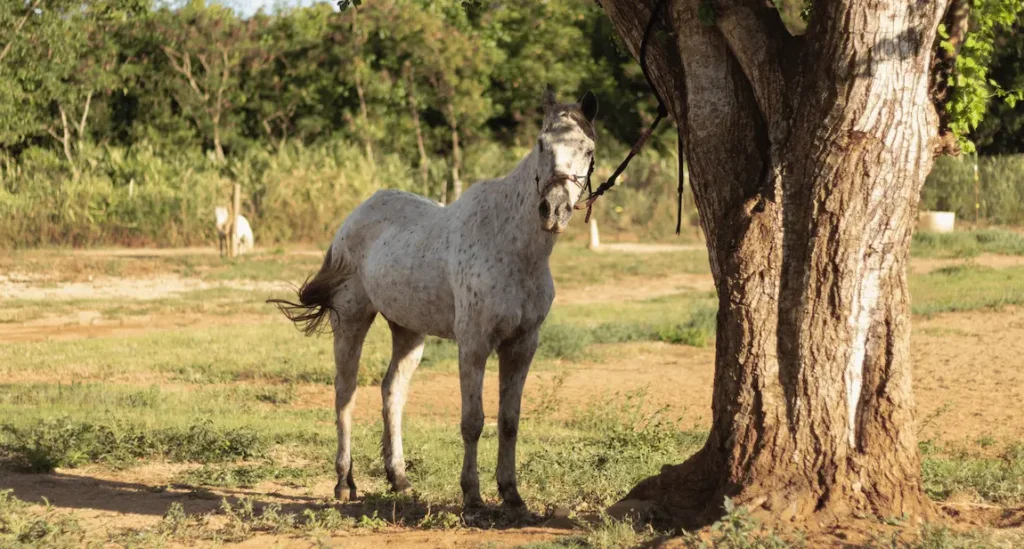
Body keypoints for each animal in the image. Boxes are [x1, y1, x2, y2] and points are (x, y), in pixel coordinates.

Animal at [272, 88, 598, 508]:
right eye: (542, 144)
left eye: (588, 150)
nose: (553, 210)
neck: (512, 247)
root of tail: (354, 216)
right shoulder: (474, 345)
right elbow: (473, 421)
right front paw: (472, 495)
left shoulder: (523, 345)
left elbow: (509, 421)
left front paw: (511, 494)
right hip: (351, 319)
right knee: (346, 393)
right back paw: (345, 481)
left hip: (409, 332)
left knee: (392, 393)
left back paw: (398, 478)